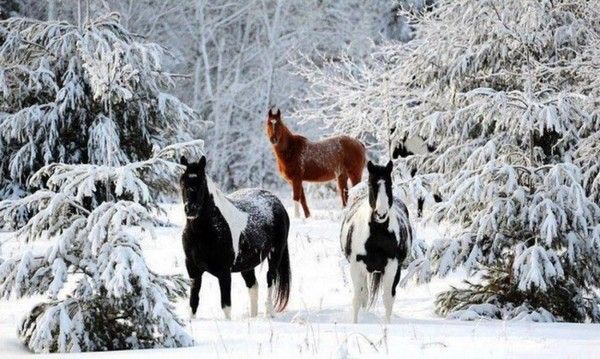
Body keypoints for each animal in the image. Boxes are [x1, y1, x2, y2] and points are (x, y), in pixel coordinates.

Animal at [178, 156, 290, 320]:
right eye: (182, 182)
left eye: (202, 183)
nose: (190, 209)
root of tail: (277, 202)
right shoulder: (193, 270)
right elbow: (193, 303)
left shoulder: (224, 272)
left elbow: (226, 305)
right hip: (247, 264)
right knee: (253, 286)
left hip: (275, 254)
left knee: (271, 279)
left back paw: (269, 313)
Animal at [342, 162, 412, 324]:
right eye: (370, 184)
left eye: (389, 183)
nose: (381, 214)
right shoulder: (356, 267)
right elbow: (357, 298)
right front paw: (354, 324)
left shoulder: (392, 267)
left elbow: (388, 299)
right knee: (364, 295)